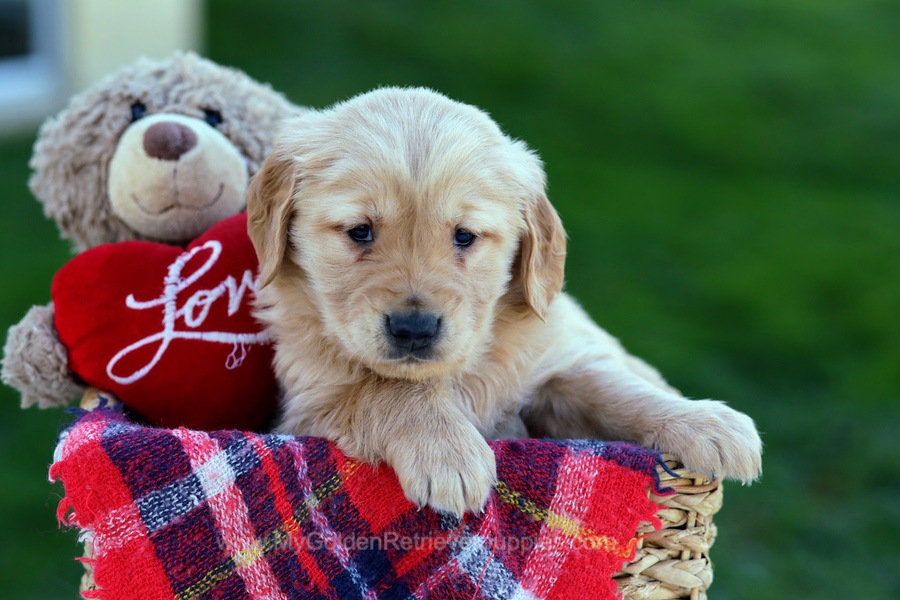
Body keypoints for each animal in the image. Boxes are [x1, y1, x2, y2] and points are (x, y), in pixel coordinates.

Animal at [246, 88, 760, 516]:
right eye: (359, 231)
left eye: (465, 236)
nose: (414, 329)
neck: (462, 370)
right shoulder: (308, 404)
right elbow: (385, 388)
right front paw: (448, 451)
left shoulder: (552, 367)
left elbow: (611, 390)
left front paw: (707, 422)